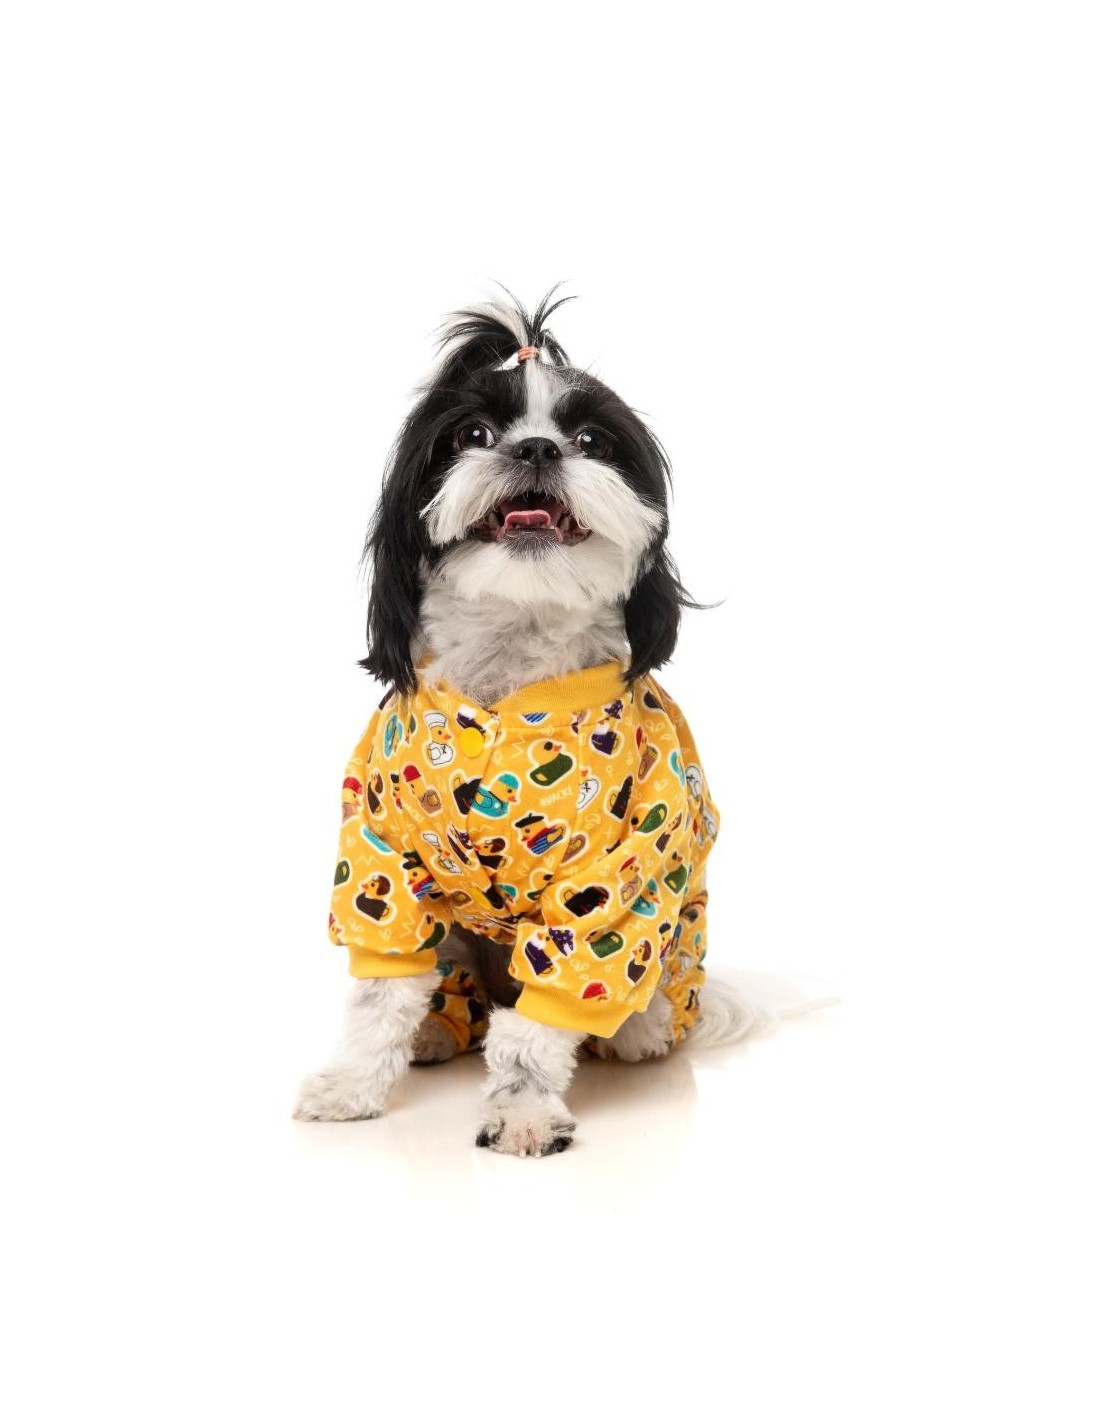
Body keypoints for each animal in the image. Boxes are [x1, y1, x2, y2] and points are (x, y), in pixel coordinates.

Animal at [294, 286, 760, 1156]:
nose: (538, 448)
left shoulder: (609, 883)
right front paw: (351, 1086)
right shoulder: (381, 854)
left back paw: (636, 1029)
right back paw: (437, 1030)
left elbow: (541, 1019)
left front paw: (521, 1111)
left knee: (627, 1009)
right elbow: (380, 998)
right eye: (472, 436)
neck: (510, 667)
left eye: (591, 440)